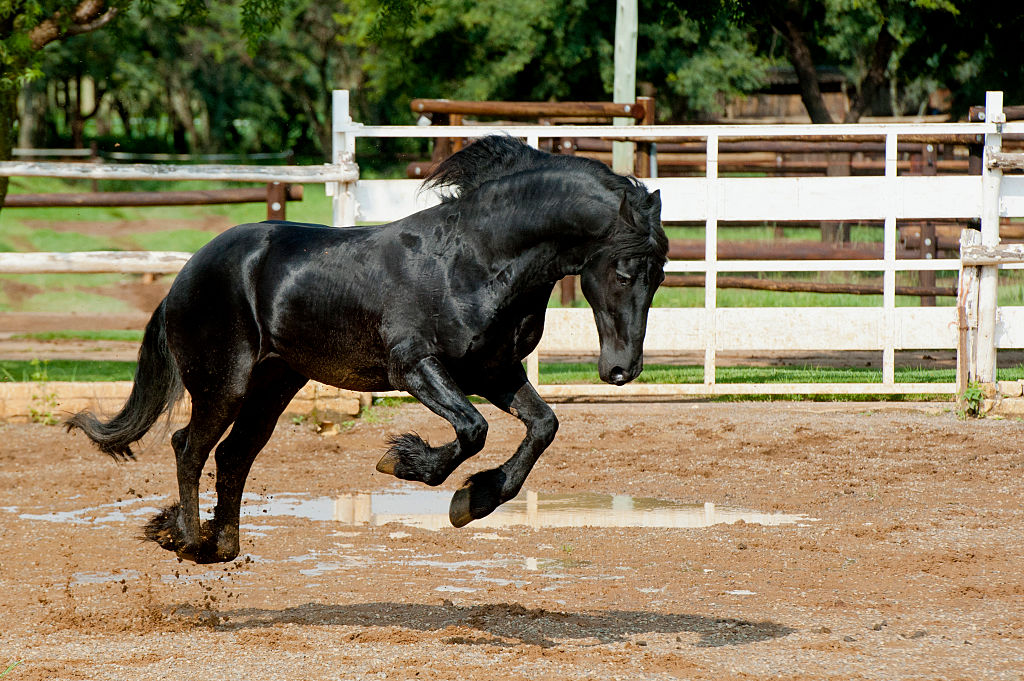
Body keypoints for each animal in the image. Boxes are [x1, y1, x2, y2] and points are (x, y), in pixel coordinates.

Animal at [68, 137, 667, 561]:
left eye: (660, 275)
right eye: (624, 270)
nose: (622, 370)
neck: (474, 259)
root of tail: (184, 276)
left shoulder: (491, 370)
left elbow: (542, 425)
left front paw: (474, 500)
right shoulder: (415, 368)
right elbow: (473, 429)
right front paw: (406, 464)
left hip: (274, 385)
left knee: (233, 455)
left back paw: (222, 545)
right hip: (224, 383)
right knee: (188, 446)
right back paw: (190, 542)